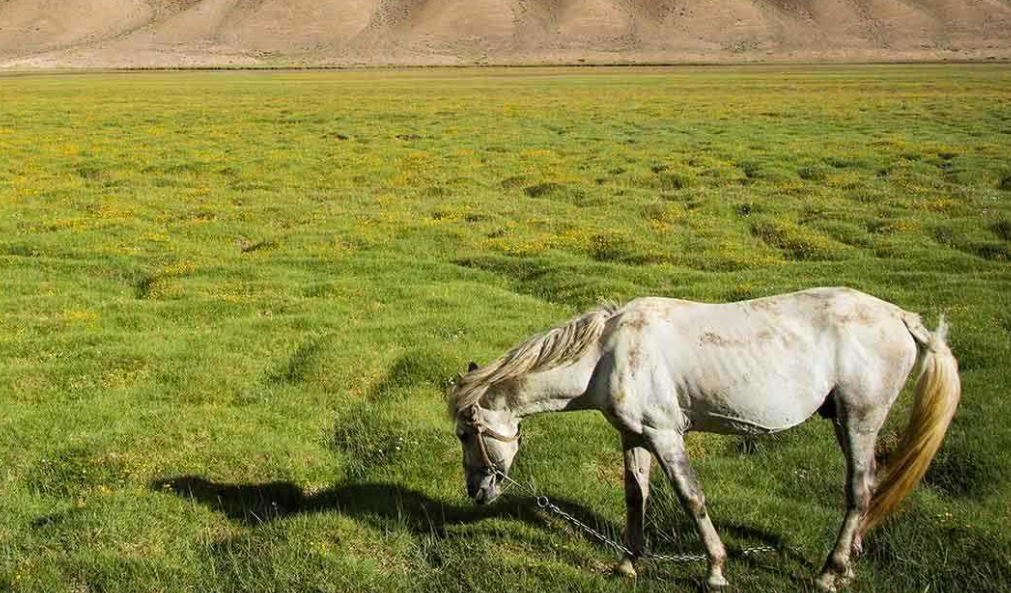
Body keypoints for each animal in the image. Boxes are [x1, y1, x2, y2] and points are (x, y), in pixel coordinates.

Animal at [448, 286, 954, 589]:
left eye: (465, 434)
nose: (477, 490)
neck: (607, 354)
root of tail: (900, 316)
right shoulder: (634, 437)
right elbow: (635, 497)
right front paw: (629, 562)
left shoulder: (666, 435)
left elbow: (691, 498)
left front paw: (715, 569)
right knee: (865, 493)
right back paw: (847, 564)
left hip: (859, 420)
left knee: (860, 491)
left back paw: (830, 572)